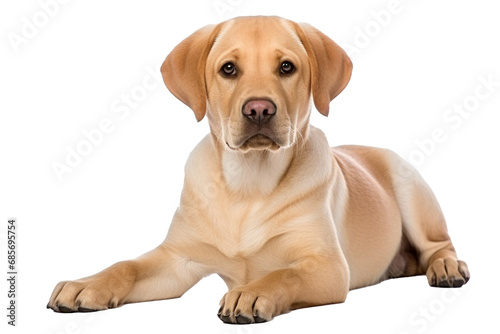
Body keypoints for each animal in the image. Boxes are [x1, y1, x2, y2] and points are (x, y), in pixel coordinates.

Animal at [47, 15, 468, 324]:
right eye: (229, 69)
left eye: (286, 67)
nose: (259, 110)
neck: (248, 185)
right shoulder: (176, 260)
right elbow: (128, 265)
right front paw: (86, 284)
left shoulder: (328, 267)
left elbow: (284, 273)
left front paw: (252, 293)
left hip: (410, 189)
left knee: (438, 244)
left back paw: (447, 267)